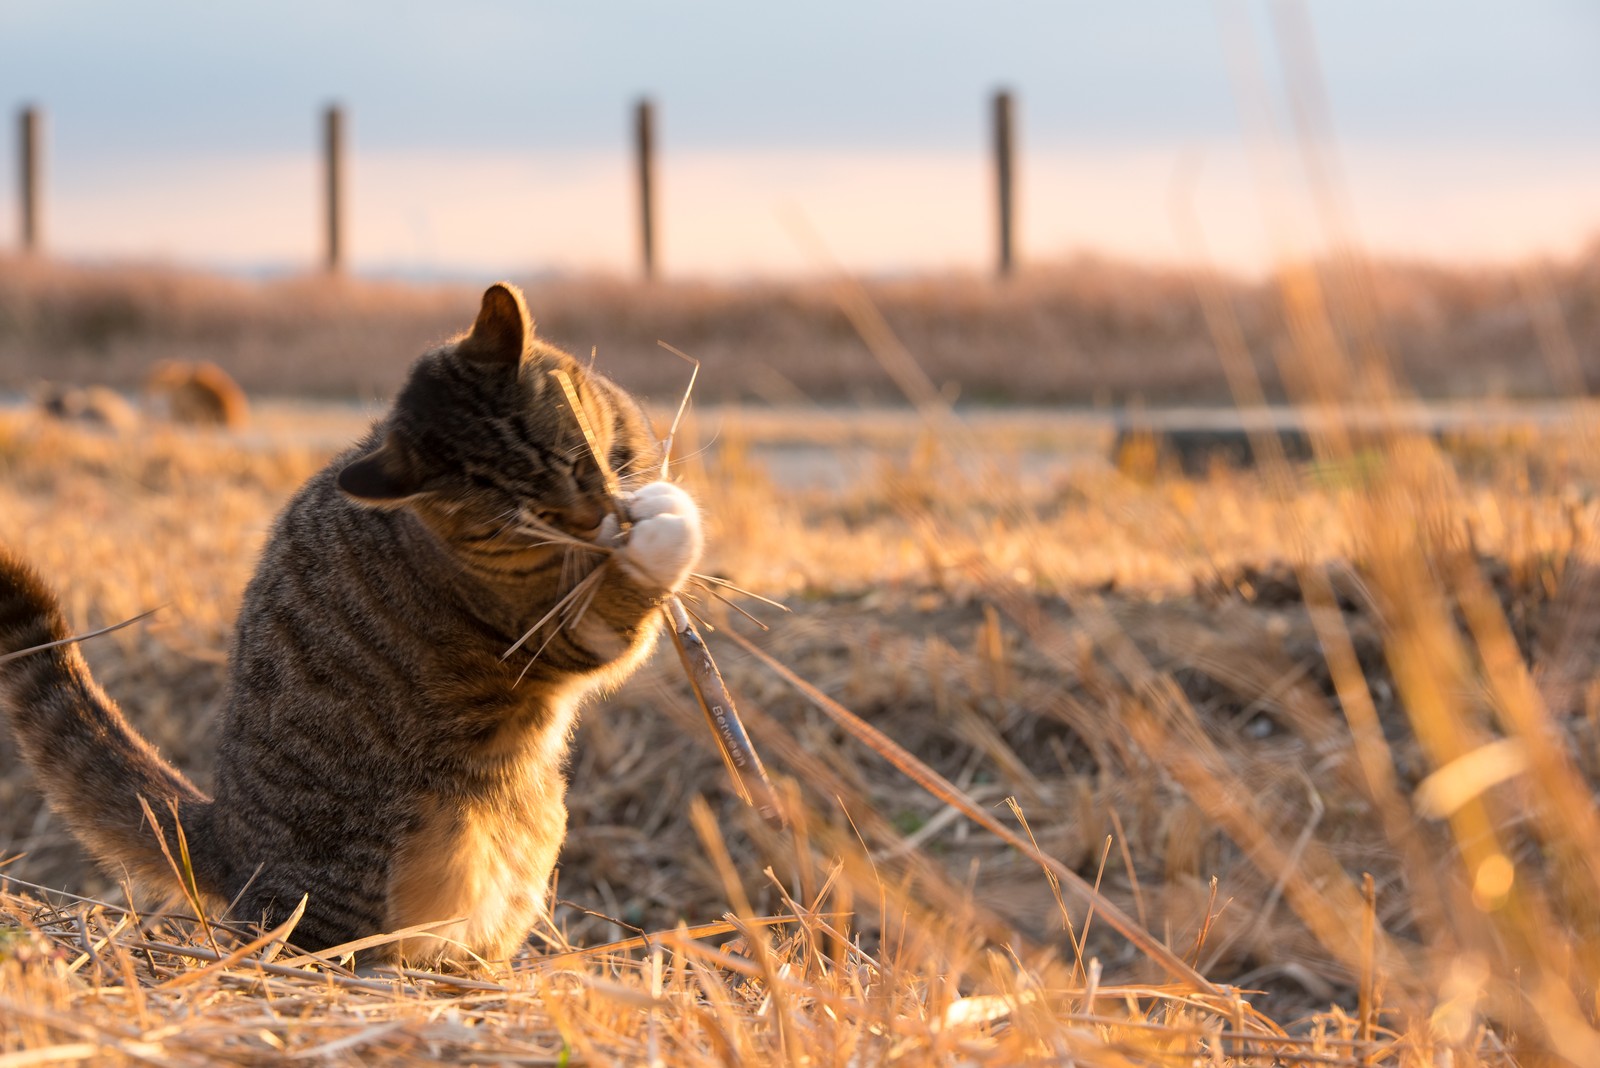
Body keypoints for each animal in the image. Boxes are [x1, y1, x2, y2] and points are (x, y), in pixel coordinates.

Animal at [0, 281, 700, 959]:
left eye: (579, 463)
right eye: (530, 519)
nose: (597, 518)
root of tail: (225, 832)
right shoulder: (561, 632)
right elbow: (619, 608)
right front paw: (662, 530)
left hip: (537, 828)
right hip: (361, 870)